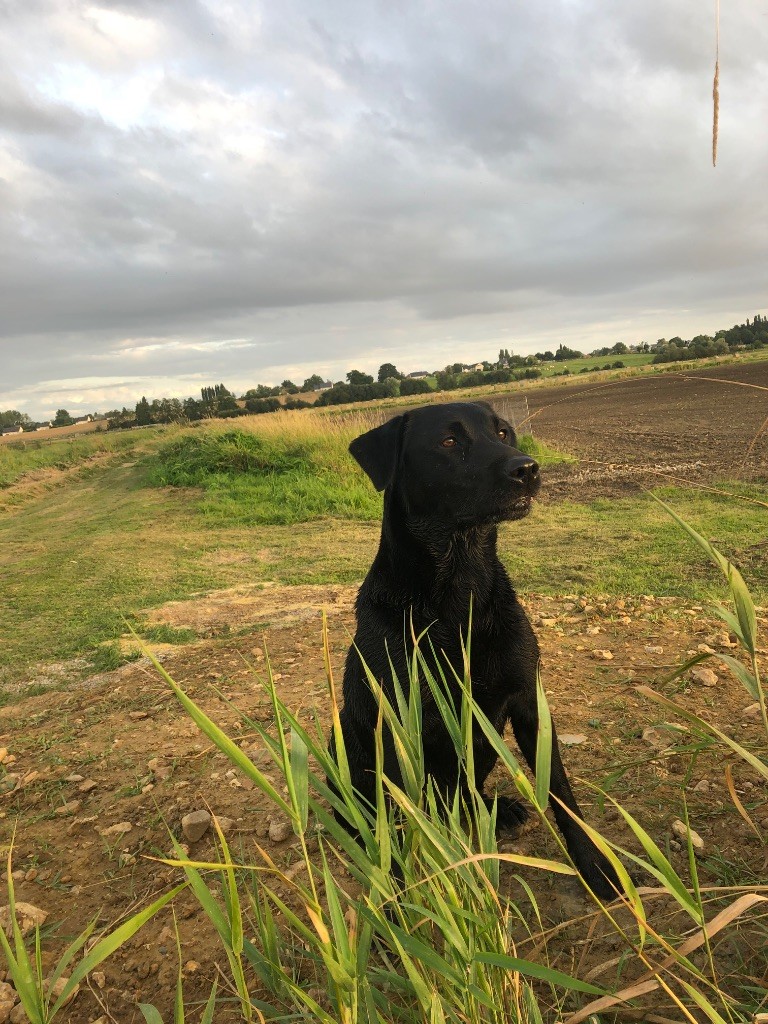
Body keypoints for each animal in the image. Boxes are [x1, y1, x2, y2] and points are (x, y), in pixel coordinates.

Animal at [333, 399, 622, 897]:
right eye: (449, 441)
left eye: (503, 433)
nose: (527, 468)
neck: (459, 585)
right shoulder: (394, 727)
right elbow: (395, 834)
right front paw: (400, 904)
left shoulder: (528, 703)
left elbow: (562, 793)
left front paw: (595, 867)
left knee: (468, 793)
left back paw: (496, 809)